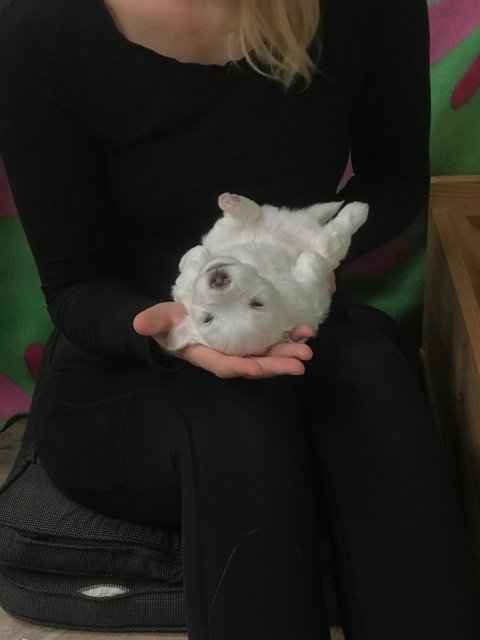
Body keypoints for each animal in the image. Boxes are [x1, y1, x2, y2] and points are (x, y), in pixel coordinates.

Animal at [168, 193, 369, 356]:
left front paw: (195, 256)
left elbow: (191, 263)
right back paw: (359, 209)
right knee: (335, 234)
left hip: (235, 226)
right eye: (208, 319)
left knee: (252, 213)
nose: (218, 280)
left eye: (256, 303)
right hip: (322, 239)